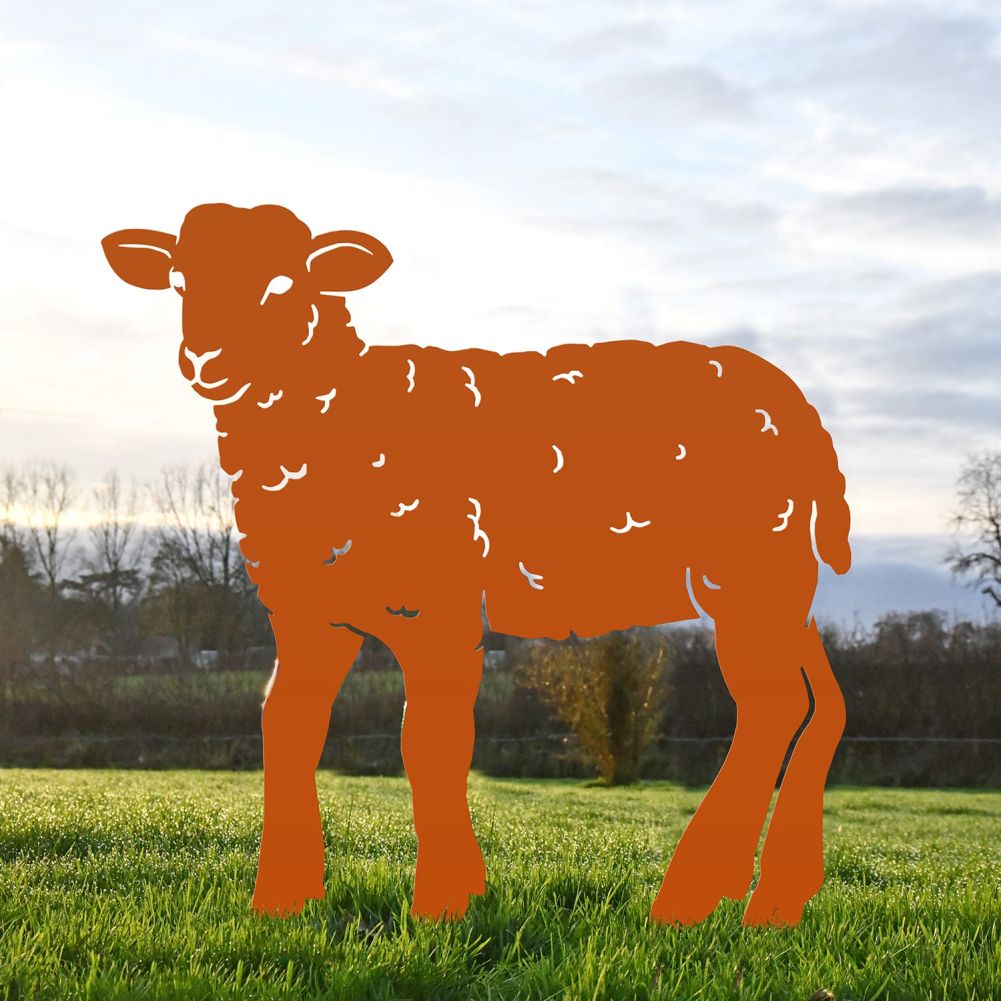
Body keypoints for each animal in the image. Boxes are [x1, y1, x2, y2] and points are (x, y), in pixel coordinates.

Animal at [102, 202, 851, 928]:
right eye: (178, 282)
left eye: (286, 283)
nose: (207, 358)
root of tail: (800, 409)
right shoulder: (307, 611)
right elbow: (285, 729)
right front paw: (282, 901)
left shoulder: (437, 599)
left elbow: (428, 742)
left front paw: (443, 902)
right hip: (783, 584)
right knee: (818, 703)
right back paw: (767, 894)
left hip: (752, 571)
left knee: (772, 709)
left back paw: (695, 899)